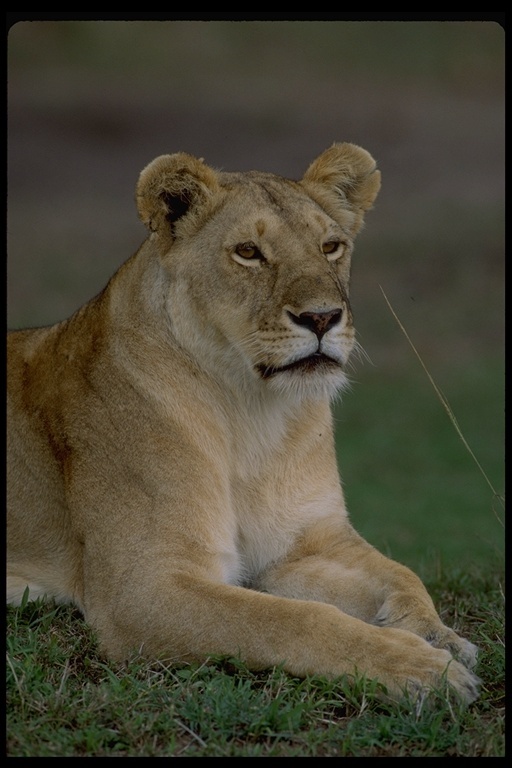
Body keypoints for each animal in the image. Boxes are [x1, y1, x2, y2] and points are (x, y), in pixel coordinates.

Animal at [7, 142, 480, 704]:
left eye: (331, 246)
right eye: (249, 252)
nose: (322, 318)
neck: (252, 414)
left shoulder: (306, 544)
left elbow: (401, 575)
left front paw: (438, 636)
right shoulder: (143, 587)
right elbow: (290, 620)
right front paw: (420, 668)